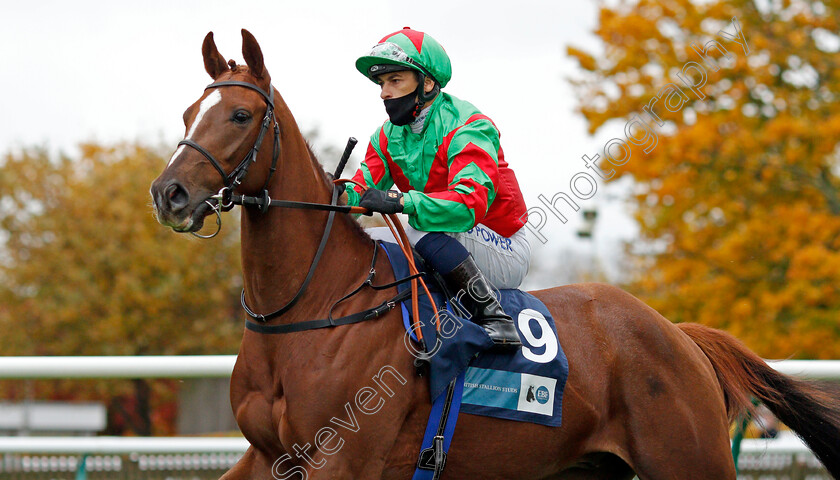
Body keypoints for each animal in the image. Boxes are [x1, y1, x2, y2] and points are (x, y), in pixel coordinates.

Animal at [151, 30, 840, 480]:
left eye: (241, 114)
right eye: (188, 112)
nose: (169, 193)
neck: (308, 309)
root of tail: (679, 335)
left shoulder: (340, 457)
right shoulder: (268, 456)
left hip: (688, 458)